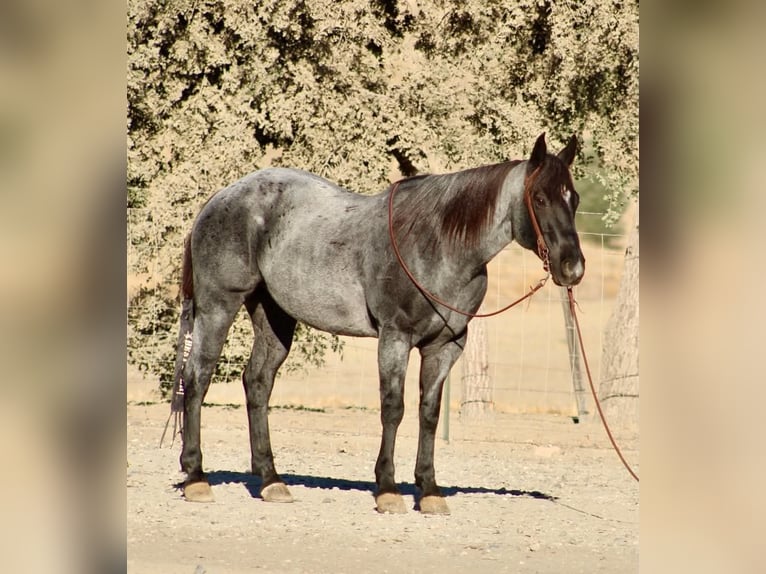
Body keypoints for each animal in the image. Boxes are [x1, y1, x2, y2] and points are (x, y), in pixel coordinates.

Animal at [170, 133, 585, 514]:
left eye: (575, 199)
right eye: (540, 198)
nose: (573, 268)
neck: (438, 244)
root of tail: (220, 198)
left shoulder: (445, 347)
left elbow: (429, 413)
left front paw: (429, 491)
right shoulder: (395, 339)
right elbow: (393, 408)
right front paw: (388, 489)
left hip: (273, 316)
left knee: (257, 383)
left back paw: (271, 481)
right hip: (219, 306)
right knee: (197, 378)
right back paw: (196, 478)